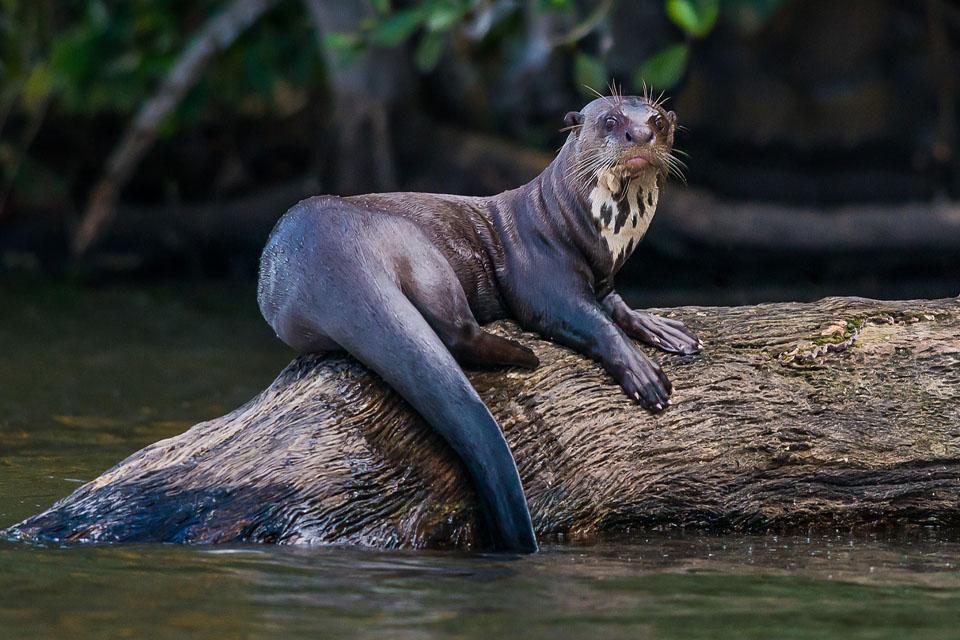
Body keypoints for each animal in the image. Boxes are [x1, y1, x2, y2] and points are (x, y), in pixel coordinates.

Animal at [257, 93, 700, 553]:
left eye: (656, 120)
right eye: (610, 121)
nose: (640, 134)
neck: (579, 227)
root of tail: (329, 256)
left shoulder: (604, 278)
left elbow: (617, 306)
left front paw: (664, 330)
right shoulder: (542, 277)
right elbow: (588, 320)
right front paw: (643, 373)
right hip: (416, 248)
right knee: (456, 331)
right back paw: (524, 356)